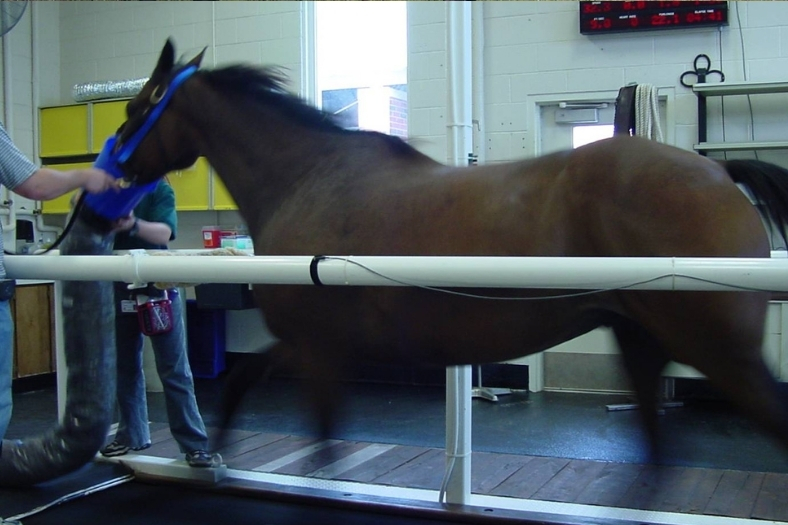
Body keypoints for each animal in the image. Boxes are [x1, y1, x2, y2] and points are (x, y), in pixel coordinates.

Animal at [114, 39, 788, 461]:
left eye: (140, 104)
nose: (110, 169)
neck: (308, 178)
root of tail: (719, 173)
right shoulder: (314, 346)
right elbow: (263, 396)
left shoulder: (315, 347)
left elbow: (302, 429)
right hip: (643, 341)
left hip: (719, 351)